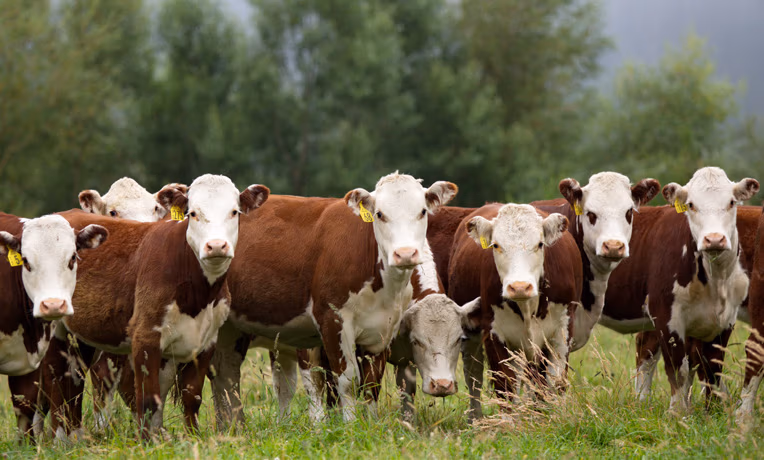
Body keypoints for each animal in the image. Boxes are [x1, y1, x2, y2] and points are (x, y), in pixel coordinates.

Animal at [39, 174, 269, 440]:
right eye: (192, 213)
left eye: (234, 212)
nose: (216, 245)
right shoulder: (145, 337)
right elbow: (147, 399)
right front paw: (148, 440)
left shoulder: (205, 342)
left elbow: (192, 398)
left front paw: (192, 437)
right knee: (53, 377)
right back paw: (60, 437)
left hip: (80, 335)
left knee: (73, 379)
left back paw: (73, 435)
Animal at [209, 172, 458, 425]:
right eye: (379, 214)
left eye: (423, 211)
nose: (405, 253)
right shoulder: (331, 322)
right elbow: (343, 382)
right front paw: (347, 425)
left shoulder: (382, 331)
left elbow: (371, 384)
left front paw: (371, 423)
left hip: (229, 332)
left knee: (226, 375)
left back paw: (231, 426)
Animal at [449, 203, 583, 419]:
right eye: (496, 245)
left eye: (540, 244)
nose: (519, 287)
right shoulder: (494, 334)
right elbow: (506, 386)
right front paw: (508, 423)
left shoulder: (562, 331)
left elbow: (555, 382)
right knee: (473, 376)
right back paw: (475, 418)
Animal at [599, 167, 758, 412]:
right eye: (691, 204)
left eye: (731, 202)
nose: (714, 239)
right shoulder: (667, 317)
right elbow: (678, 369)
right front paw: (678, 413)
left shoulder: (725, 321)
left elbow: (712, 368)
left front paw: (713, 411)